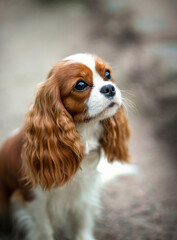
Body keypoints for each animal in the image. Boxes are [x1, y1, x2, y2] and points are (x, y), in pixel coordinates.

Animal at [0, 53, 130, 239]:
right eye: (80, 85)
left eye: (107, 74)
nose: (109, 88)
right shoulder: (33, 200)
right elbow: (44, 230)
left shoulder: (84, 192)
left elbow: (82, 221)